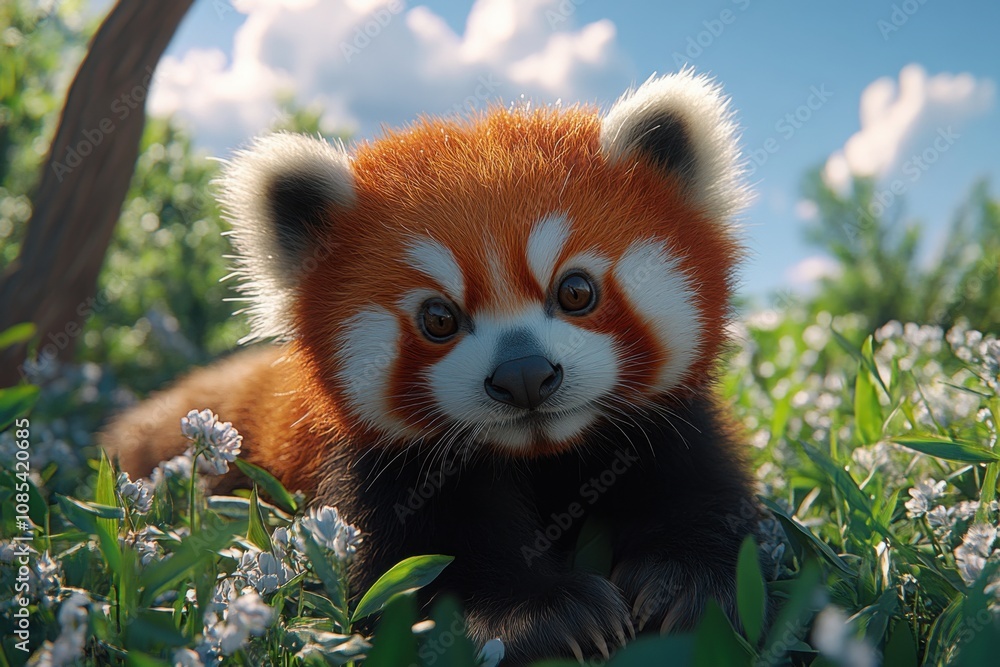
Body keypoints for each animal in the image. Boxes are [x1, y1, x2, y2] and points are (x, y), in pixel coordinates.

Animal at [102, 70, 762, 665]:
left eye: (576, 291)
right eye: (439, 318)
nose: (523, 375)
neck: (541, 455)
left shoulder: (674, 426)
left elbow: (703, 491)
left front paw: (685, 578)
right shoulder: (373, 474)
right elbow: (424, 569)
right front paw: (539, 614)